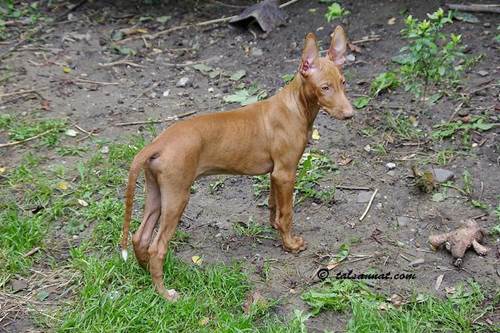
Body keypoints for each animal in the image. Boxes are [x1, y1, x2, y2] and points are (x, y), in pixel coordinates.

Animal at [121, 26, 356, 300]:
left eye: (343, 83)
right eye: (324, 87)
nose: (350, 114)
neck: (295, 106)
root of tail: (157, 143)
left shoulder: (275, 174)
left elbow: (274, 205)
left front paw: (275, 228)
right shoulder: (286, 173)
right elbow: (287, 212)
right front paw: (290, 244)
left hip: (157, 193)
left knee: (140, 237)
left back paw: (145, 273)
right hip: (177, 196)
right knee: (157, 248)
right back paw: (165, 294)